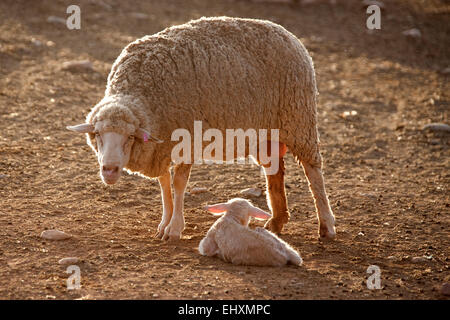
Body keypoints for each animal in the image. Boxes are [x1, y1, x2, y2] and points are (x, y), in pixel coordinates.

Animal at [66, 15, 334, 240]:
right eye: (97, 134)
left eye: (130, 137)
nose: (109, 170)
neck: (142, 93)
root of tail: (288, 34)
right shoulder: (161, 146)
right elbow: (164, 184)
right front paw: (164, 223)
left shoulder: (185, 140)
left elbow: (178, 183)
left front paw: (175, 228)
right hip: (266, 132)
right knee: (274, 171)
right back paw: (277, 222)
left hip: (298, 117)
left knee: (313, 170)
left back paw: (326, 225)